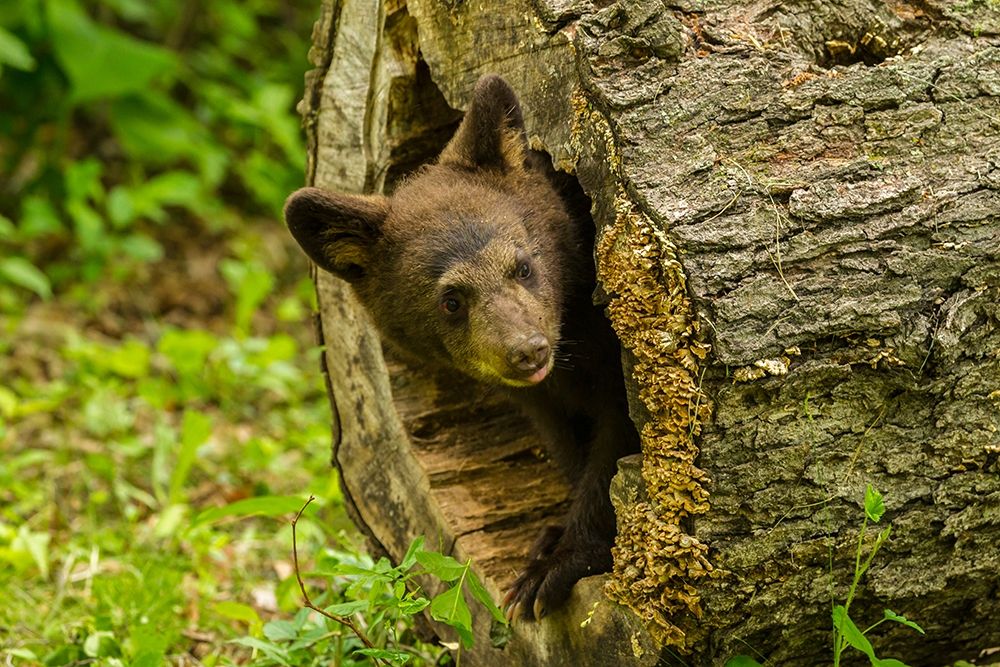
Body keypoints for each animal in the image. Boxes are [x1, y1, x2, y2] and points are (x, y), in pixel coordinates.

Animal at [284, 74, 640, 621]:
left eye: (523, 265)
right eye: (451, 300)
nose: (528, 351)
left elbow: (615, 445)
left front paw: (555, 566)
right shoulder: (539, 398)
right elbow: (566, 443)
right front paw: (551, 540)